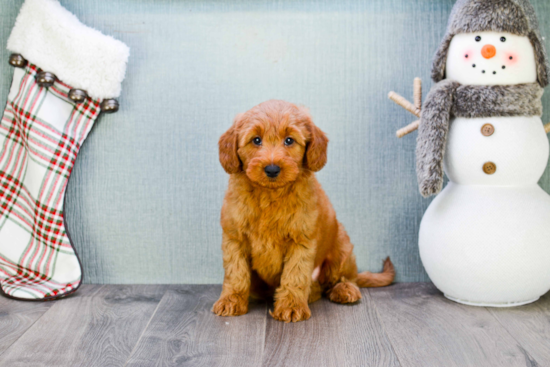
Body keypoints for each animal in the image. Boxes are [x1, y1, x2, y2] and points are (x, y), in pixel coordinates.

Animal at [213, 100, 394, 322]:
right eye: (256, 140)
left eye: (289, 140)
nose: (272, 169)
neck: (270, 195)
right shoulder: (234, 238)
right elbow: (236, 273)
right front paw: (231, 300)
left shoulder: (301, 240)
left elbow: (295, 274)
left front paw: (291, 306)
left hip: (342, 247)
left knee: (343, 278)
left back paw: (343, 289)